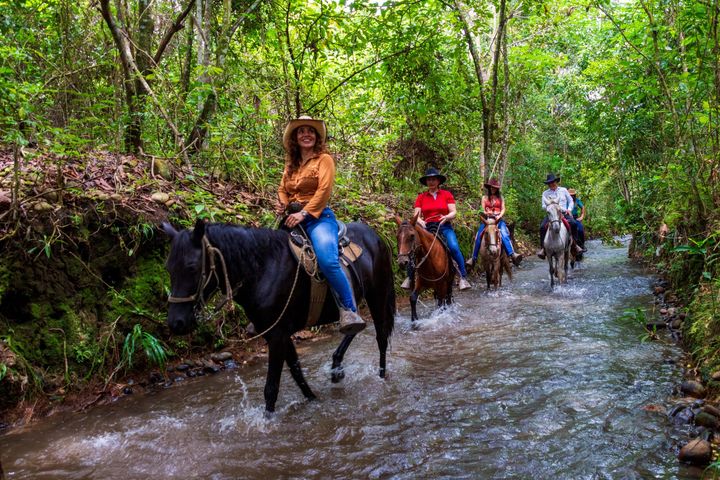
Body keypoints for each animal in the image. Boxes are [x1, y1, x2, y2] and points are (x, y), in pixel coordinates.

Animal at [161, 219, 396, 410]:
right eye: (168, 269)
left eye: (192, 267)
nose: (176, 323)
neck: (262, 270)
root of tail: (375, 236)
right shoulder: (277, 334)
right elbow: (297, 372)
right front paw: (313, 399)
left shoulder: (277, 336)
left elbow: (271, 388)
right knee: (355, 326)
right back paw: (337, 366)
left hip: (378, 296)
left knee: (381, 337)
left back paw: (381, 377)